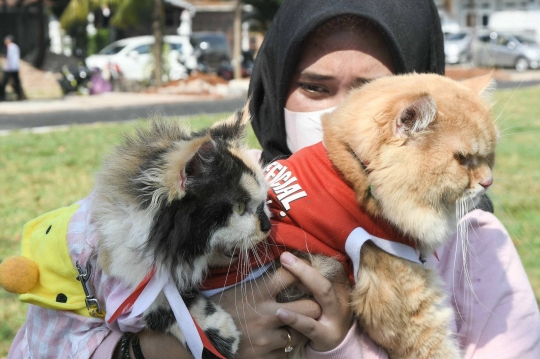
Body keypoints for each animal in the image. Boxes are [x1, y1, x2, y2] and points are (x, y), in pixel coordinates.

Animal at [92, 108, 274, 358]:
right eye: (239, 207)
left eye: (263, 200)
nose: (267, 226)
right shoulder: (119, 283)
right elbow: (162, 307)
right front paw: (217, 336)